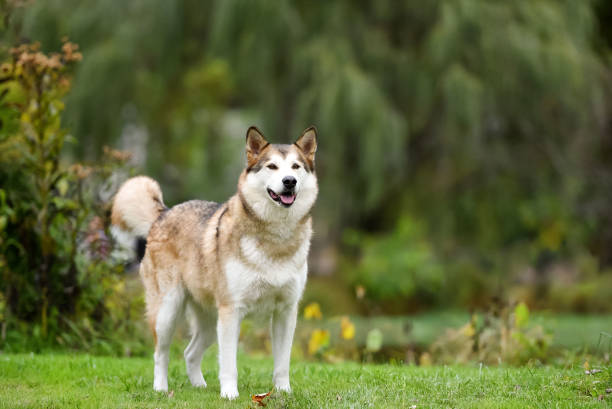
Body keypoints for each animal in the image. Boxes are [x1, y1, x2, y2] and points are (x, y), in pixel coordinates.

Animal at [111, 126, 320, 396]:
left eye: (295, 167)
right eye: (272, 166)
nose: (289, 182)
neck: (276, 239)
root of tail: (164, 213)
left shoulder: (286, 311)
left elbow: (282, 363)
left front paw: (284, 392)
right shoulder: (232, 311)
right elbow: (229, 363)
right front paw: (229, 394)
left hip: (211, 324)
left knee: (189, 353)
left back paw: (199, 385)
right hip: (169, 313)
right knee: (160, 354)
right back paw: (161, 389)